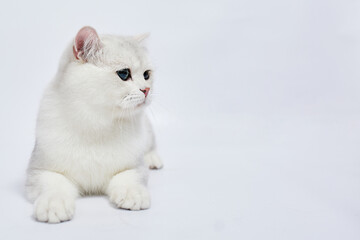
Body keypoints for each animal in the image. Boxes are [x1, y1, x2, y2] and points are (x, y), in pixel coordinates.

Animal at [23, 26, 162, 223]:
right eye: (124, 74)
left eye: (146, 75)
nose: (147, 90)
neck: (97, 124)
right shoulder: (39, 171)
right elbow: (55, 185)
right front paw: (53, 205)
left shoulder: (134, 167)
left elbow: (128, 178)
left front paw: (132, 194)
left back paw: (153, 159)